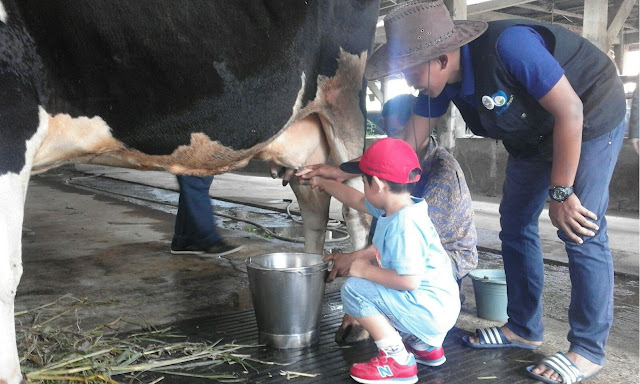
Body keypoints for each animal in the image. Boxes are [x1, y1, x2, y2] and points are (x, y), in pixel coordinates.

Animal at [1, 1, 380, 382]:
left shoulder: (13, 126)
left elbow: (6, 273)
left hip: (343, 94)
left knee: (357, 213)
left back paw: (354, 325)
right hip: (306, 135)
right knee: (315, 212)